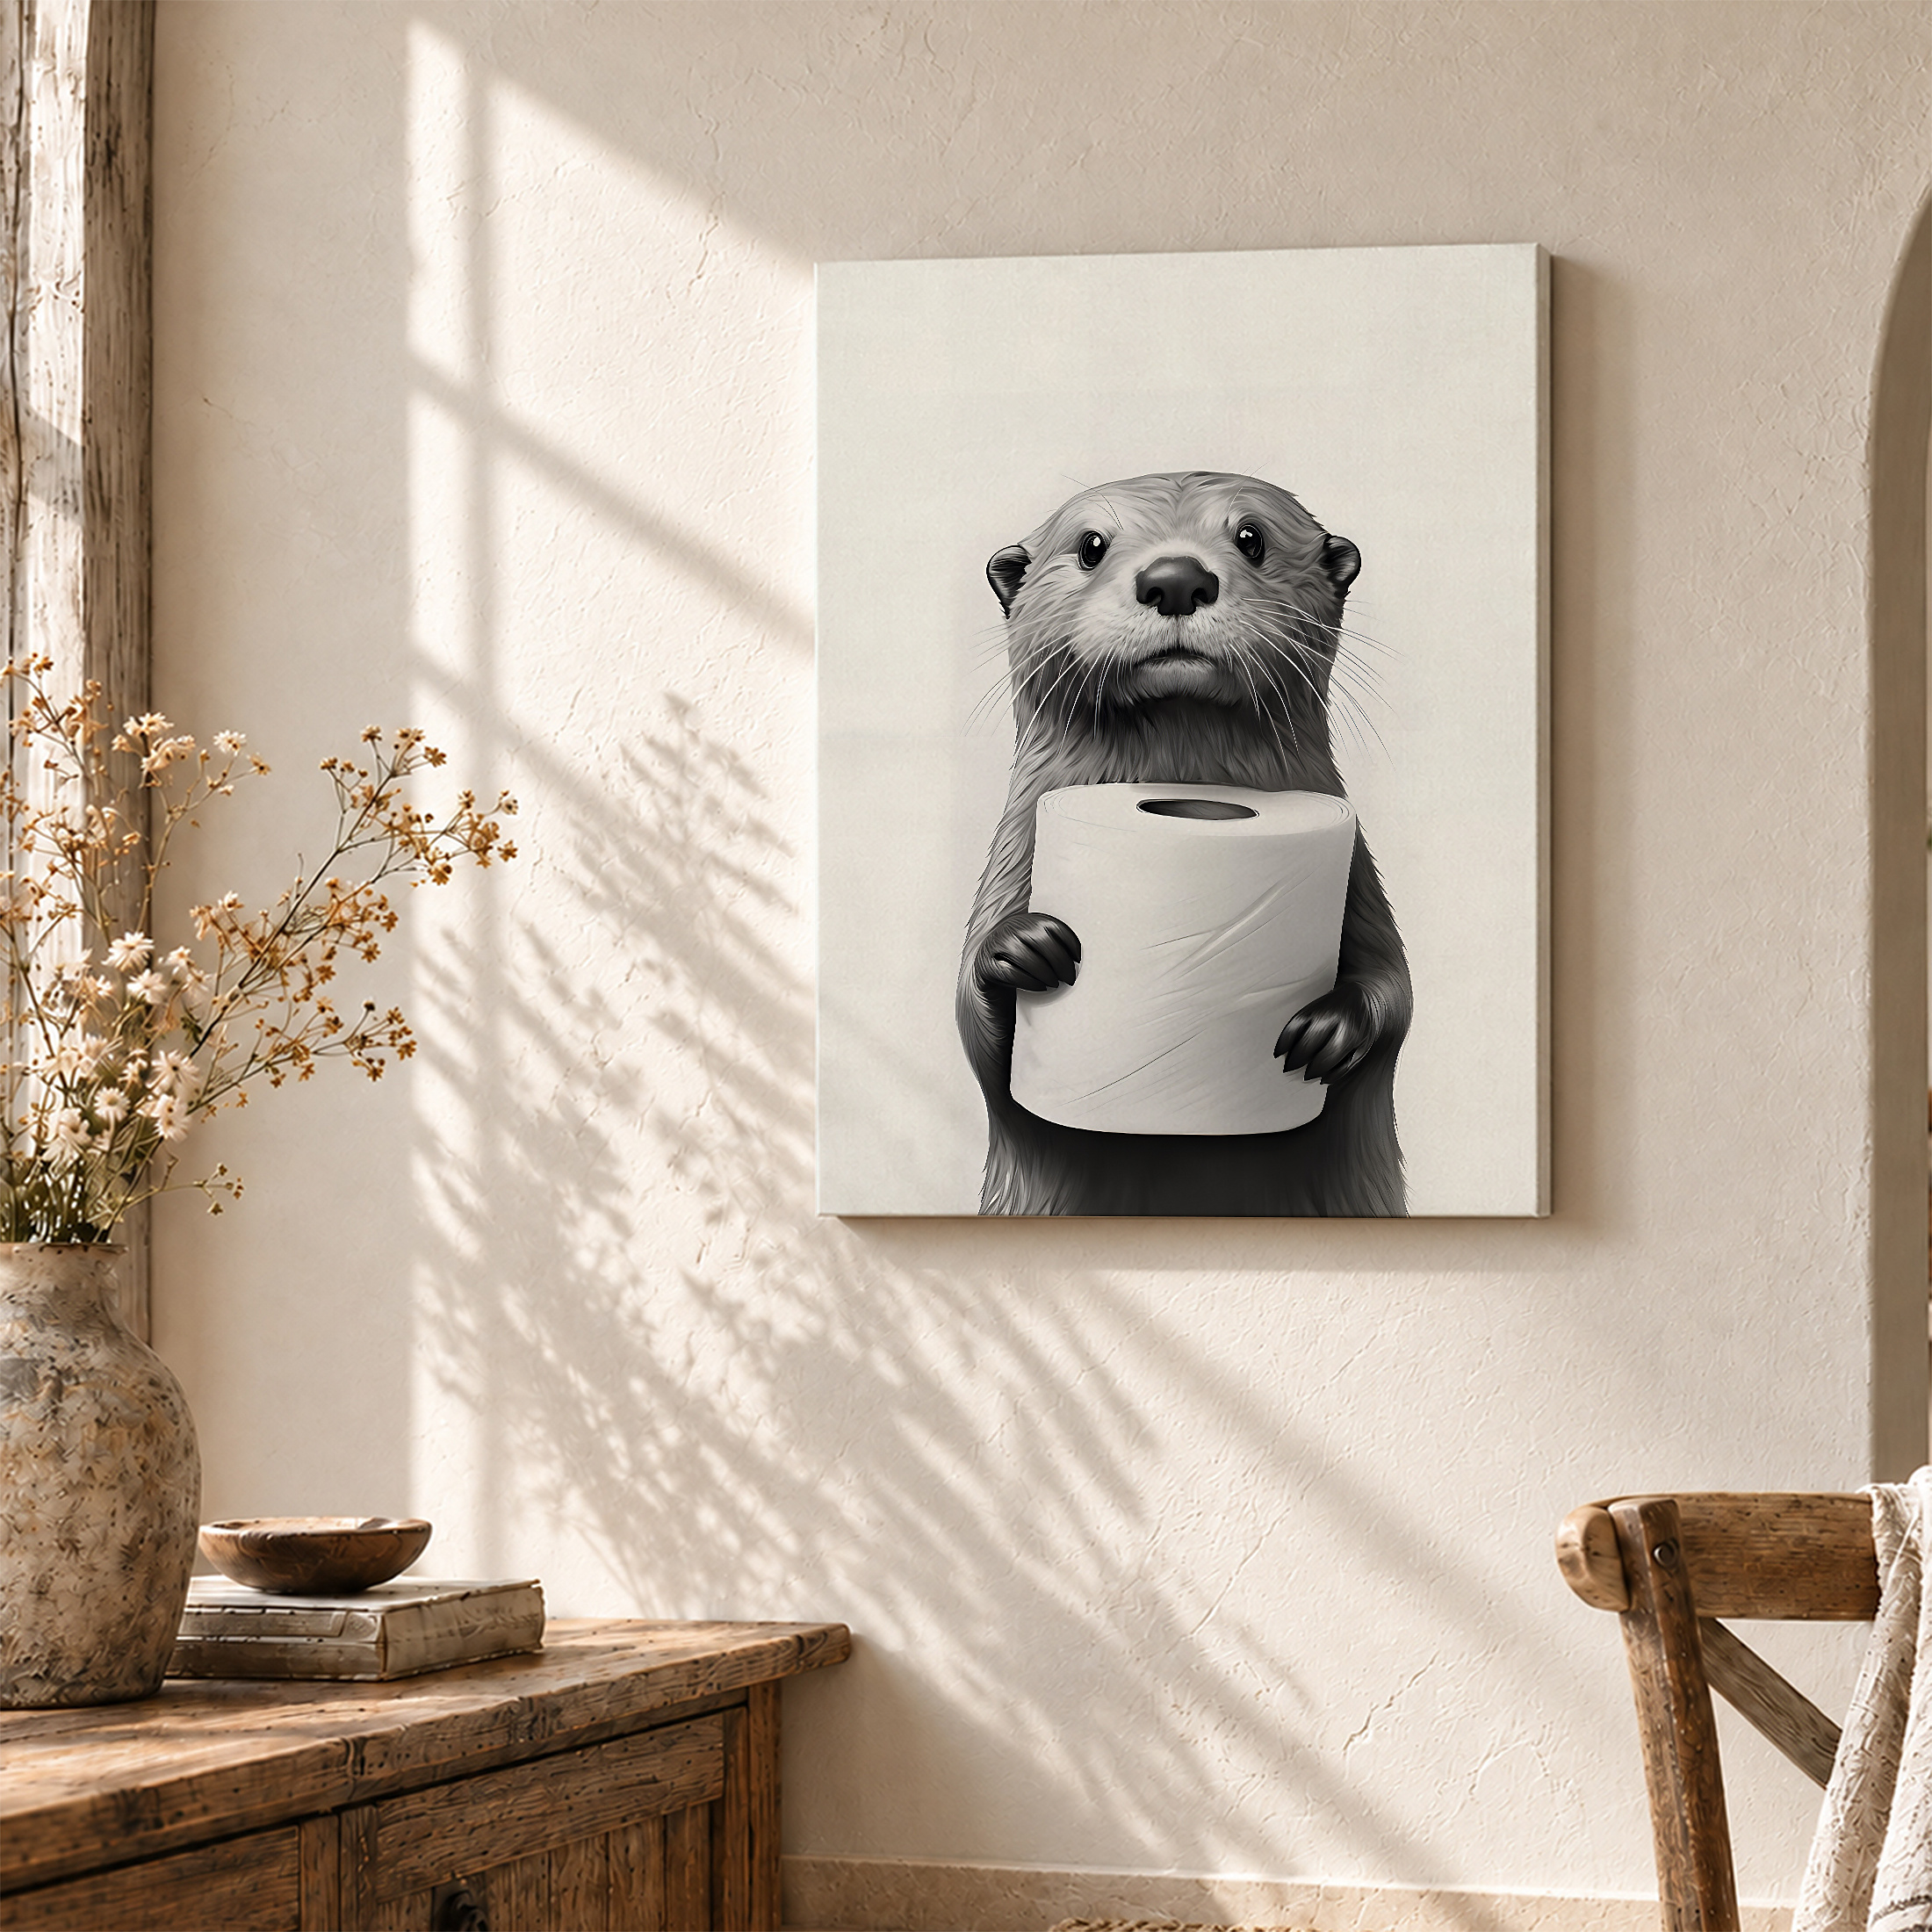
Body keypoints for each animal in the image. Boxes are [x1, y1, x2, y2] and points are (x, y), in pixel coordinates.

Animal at [956, 471, 1411, 1216]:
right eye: (1091, 545)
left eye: (1252, 537)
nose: (1175, 578)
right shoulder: (1010, 860)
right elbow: (976, 1032)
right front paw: (1021, 947)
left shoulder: (1360, 882)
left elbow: (1394, 992)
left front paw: (1329, 1029)